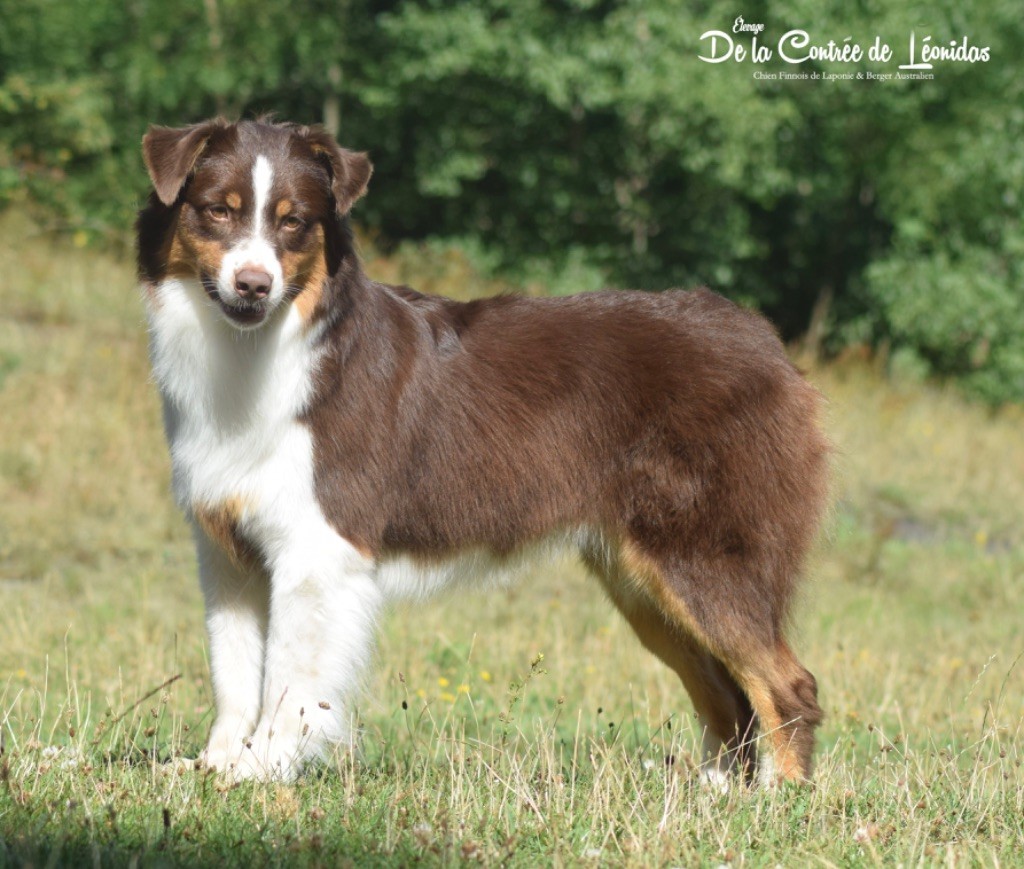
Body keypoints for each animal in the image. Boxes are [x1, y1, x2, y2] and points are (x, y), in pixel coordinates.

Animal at [136, 115, 831, 777]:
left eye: (293, 222)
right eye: (217, 211)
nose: (254, 284)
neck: (259, 351)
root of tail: (767, 343)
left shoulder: (317, 547)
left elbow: (289, 679)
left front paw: (263, 769)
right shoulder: (225, 551)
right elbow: (233, 671)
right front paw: (215, 765)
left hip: (704, 556)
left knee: (786, 684)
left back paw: (779, 803)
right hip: (641, 579)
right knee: (724, 693)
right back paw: (715, 796)